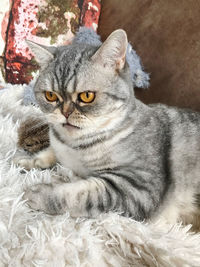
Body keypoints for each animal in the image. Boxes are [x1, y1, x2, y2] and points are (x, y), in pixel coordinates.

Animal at [14, 29, 200, 226]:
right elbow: (48, 154)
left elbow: (81, 194)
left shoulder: (138, 187)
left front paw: (39, 193)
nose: (65, 112)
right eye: (50, 96)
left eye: (87, 96)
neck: (74, 146)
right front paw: (28, 161)